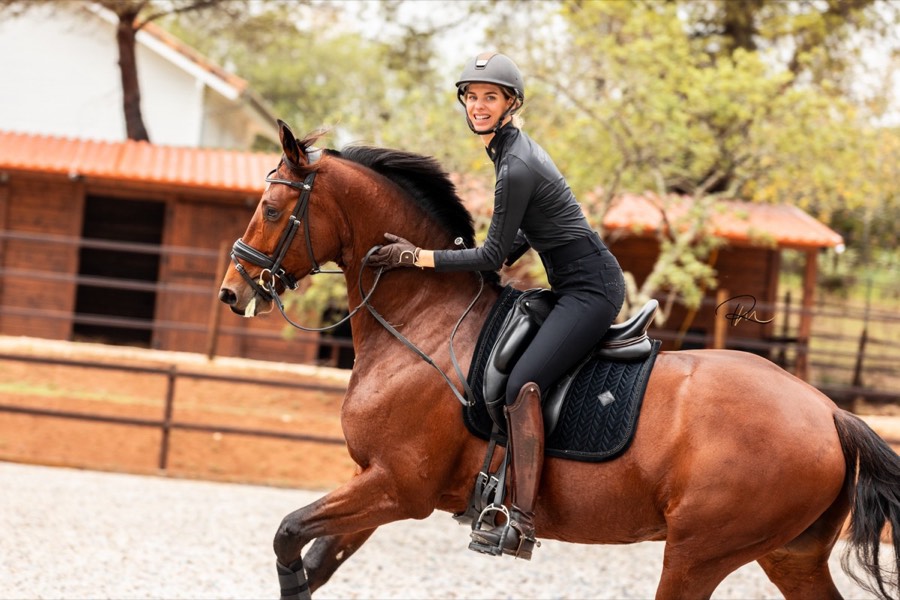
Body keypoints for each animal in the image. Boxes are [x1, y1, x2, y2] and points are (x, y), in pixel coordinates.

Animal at [218, 120, 900, 600]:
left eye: (272, 209)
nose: (233, 291)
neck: (420, 322)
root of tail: (829, 413)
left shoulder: (397, 486)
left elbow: (287, 534)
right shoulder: (376, 485)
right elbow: (313, 562)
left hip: (697, 553)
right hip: (789, 555)